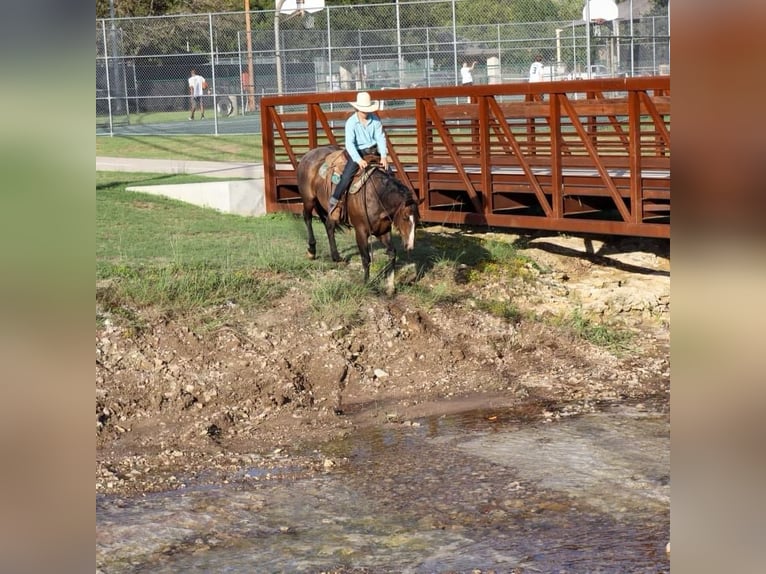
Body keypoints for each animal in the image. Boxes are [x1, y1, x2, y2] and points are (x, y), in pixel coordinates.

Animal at [296, 145, 423, 289]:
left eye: (417, 220)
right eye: (405, 218)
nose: (410, 246)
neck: (376, 196)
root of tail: (308, 155)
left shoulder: (383, 231)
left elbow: (392, 253)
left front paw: (390, 285)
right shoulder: (361, 231)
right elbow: (366, 258)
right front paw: (366, 283)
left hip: (330, 211)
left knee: (329, 226)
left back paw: (336, 257)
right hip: (308, 199)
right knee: (307, 218)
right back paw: (312, 251)